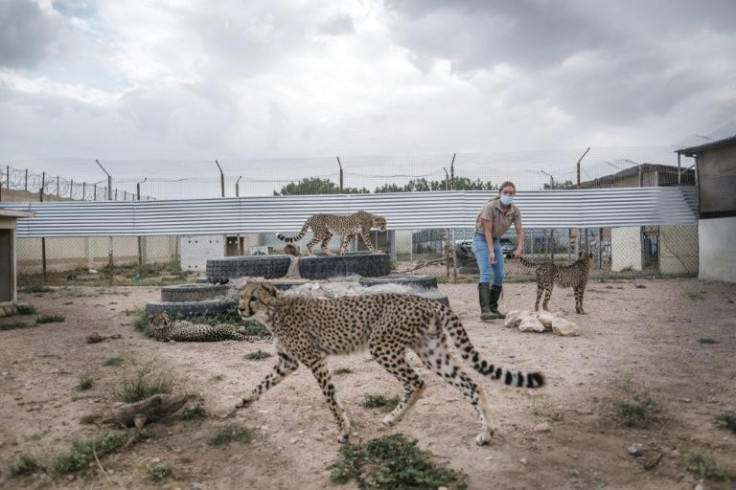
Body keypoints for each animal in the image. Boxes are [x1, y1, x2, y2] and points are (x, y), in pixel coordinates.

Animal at [236, 280, 548, 444]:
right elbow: (261, 384)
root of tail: (427, 301)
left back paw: (395, 417)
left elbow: (331, 399)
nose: (239, 309)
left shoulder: (314, 359)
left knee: (417, 382)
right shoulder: (287, 362)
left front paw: (345, 431)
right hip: (432, 351)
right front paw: (241, 403)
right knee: (470, 385)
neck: (274, 311)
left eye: (253, 298)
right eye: (241, 296)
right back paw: (486, 432)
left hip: (382, 346)